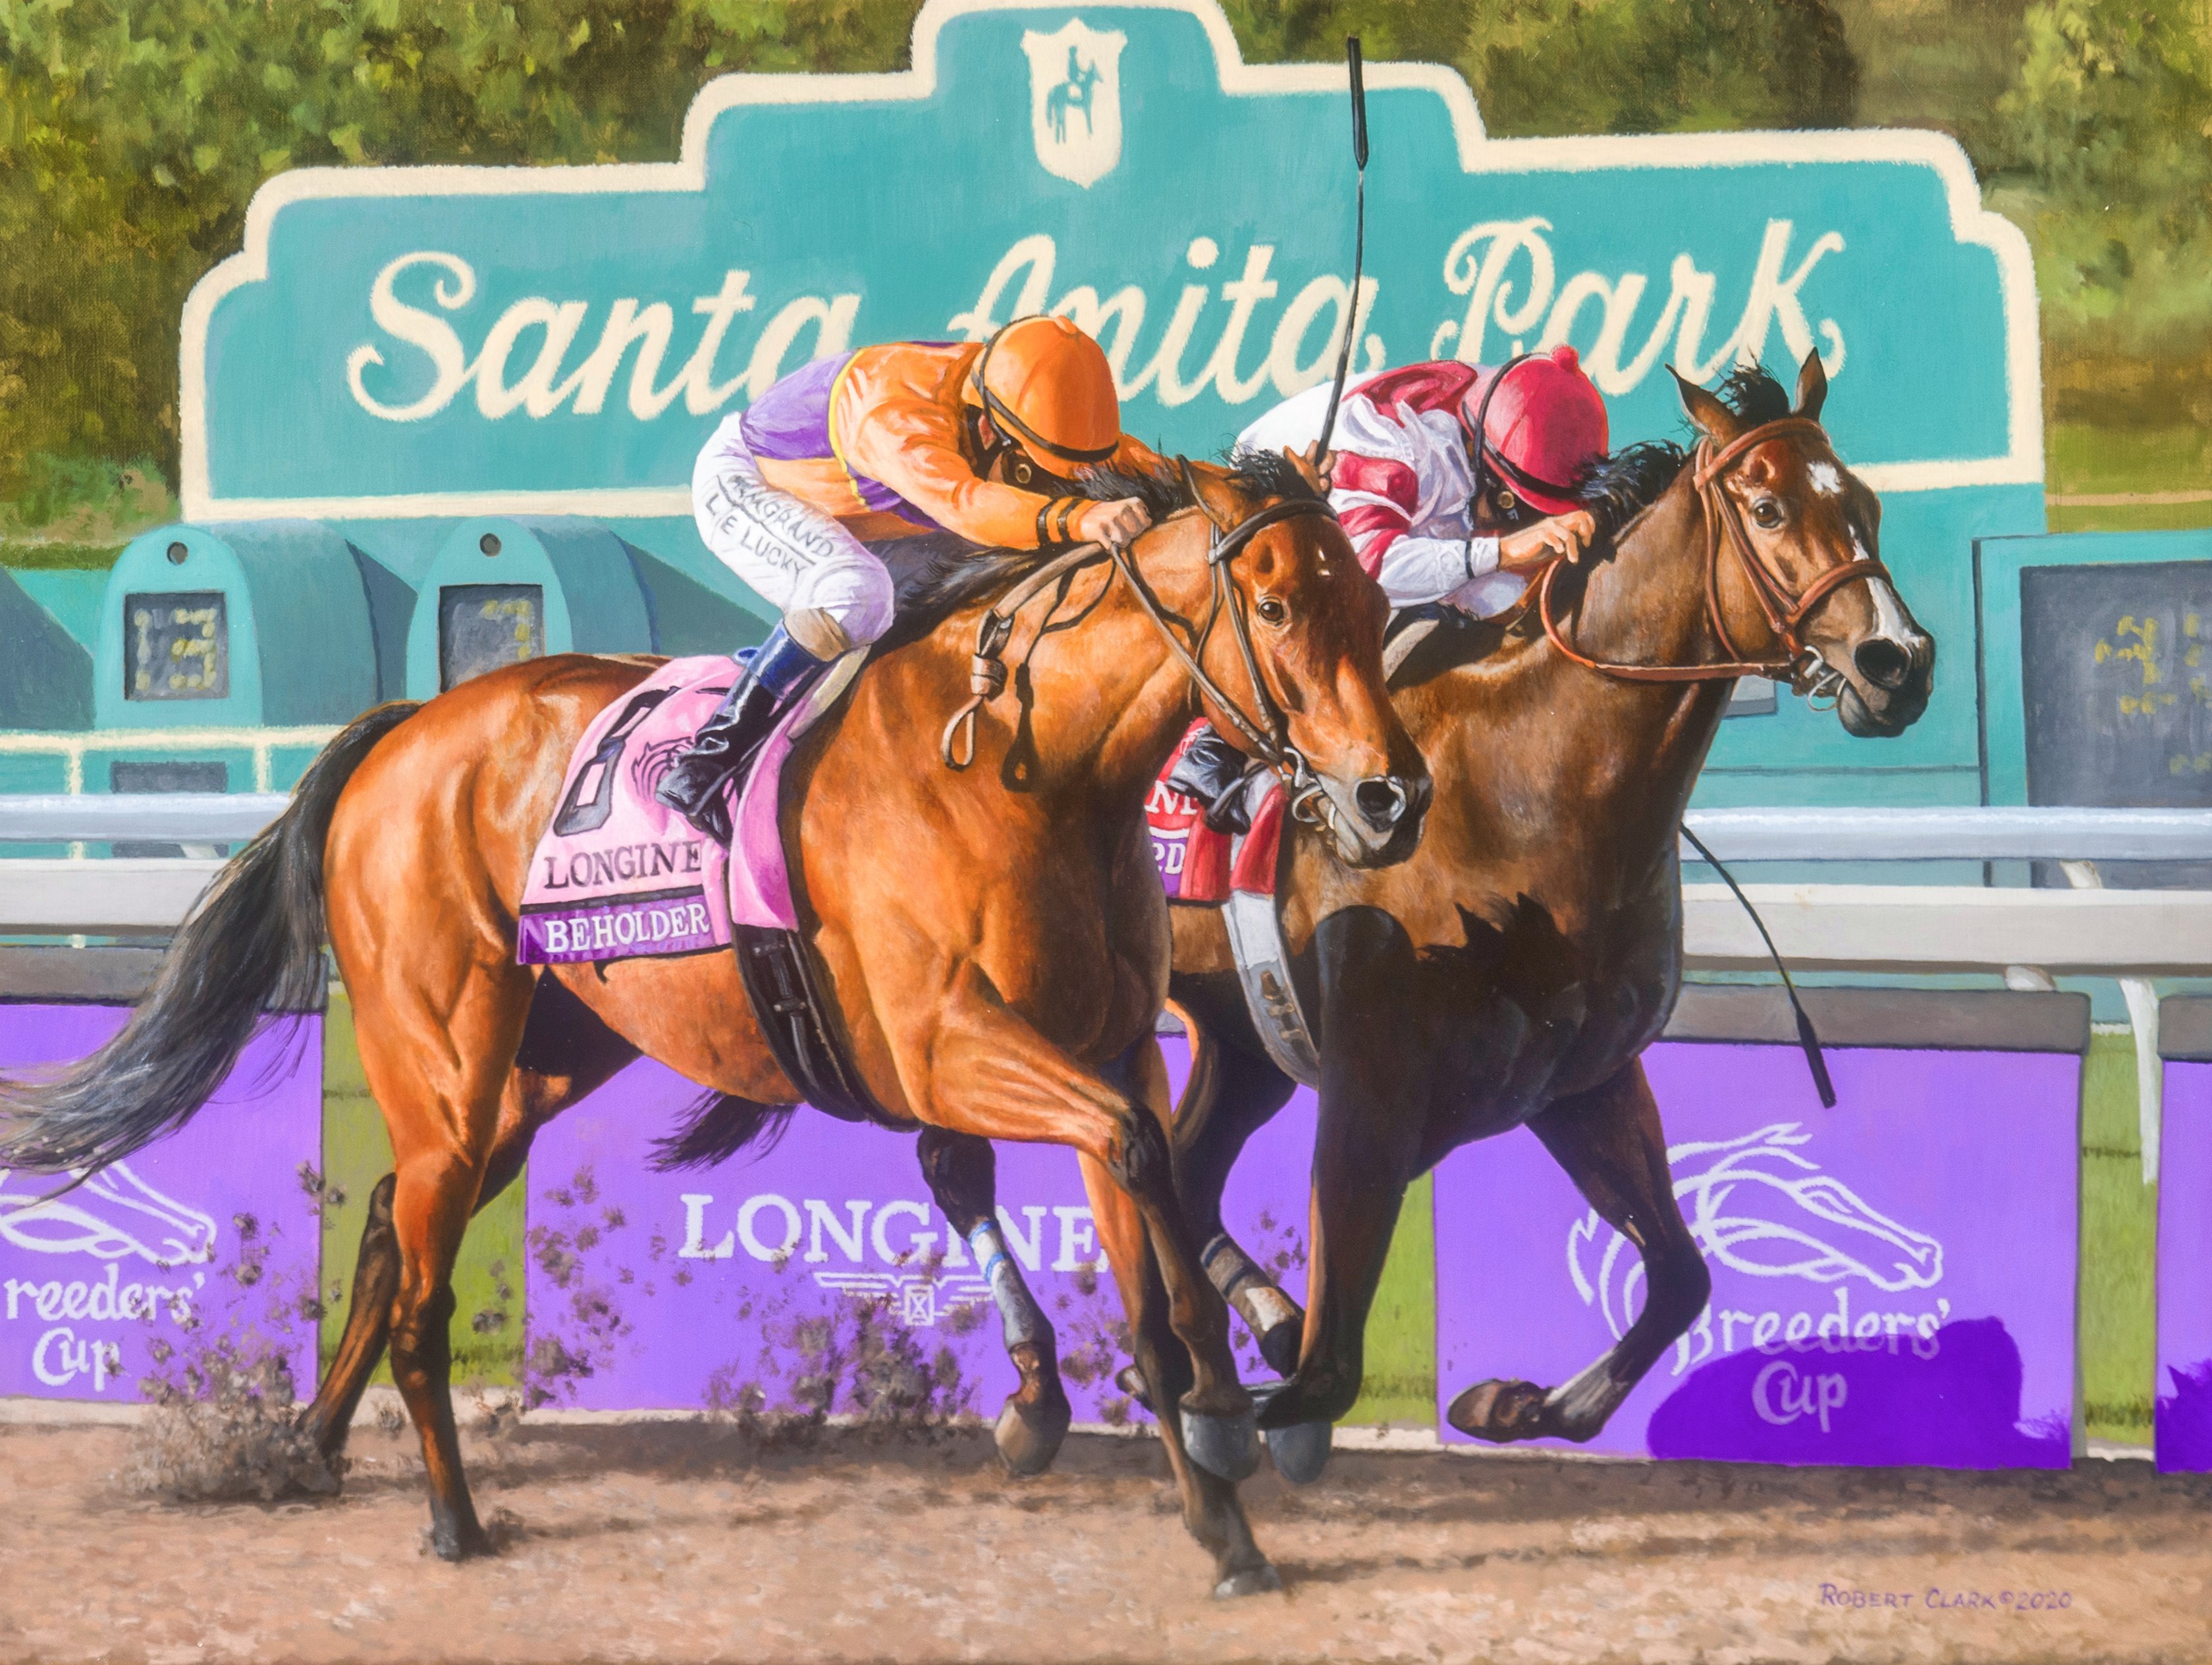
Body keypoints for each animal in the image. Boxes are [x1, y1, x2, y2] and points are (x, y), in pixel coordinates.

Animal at [0, 448, 1415, 1592]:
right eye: (1276, 605)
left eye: (1369, 602)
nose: (1389, 796)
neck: (1025, 761)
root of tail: (399, 734)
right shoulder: (947, 1045)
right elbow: (1123, 1155)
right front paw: (1214, 1408)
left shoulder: (1104, 1041)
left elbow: (1142, 1199)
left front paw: (1223, 1501)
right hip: (443, 1056)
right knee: (422, 1280)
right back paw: (453, 1516)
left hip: (541, 1064)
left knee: (389, 1225)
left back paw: (308, 1444)